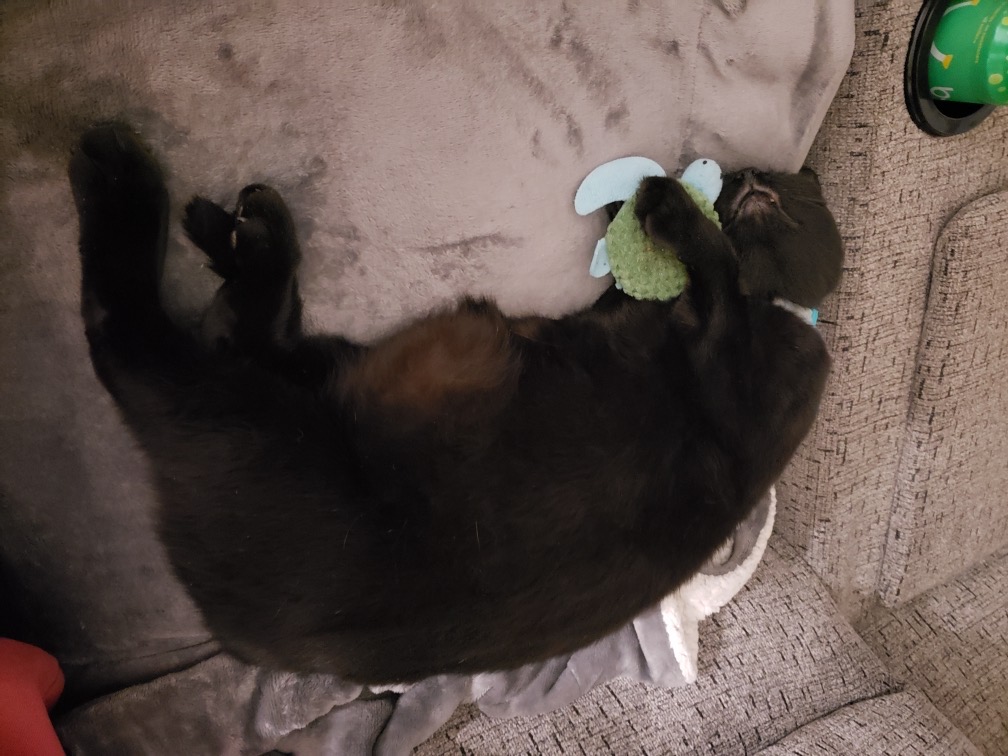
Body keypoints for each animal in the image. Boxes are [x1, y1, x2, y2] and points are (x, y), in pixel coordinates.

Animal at [69, 122, 842, 681]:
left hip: (252, 418)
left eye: (766, 187)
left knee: (135, 337)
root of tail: (235, 626)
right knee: (236, 329)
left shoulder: (725, 353)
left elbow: (715, 262)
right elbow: (688, 279)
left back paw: (128, 182)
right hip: (326, 377)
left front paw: (669, 209)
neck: (782, 308)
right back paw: (232, 229)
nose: (744, 174)